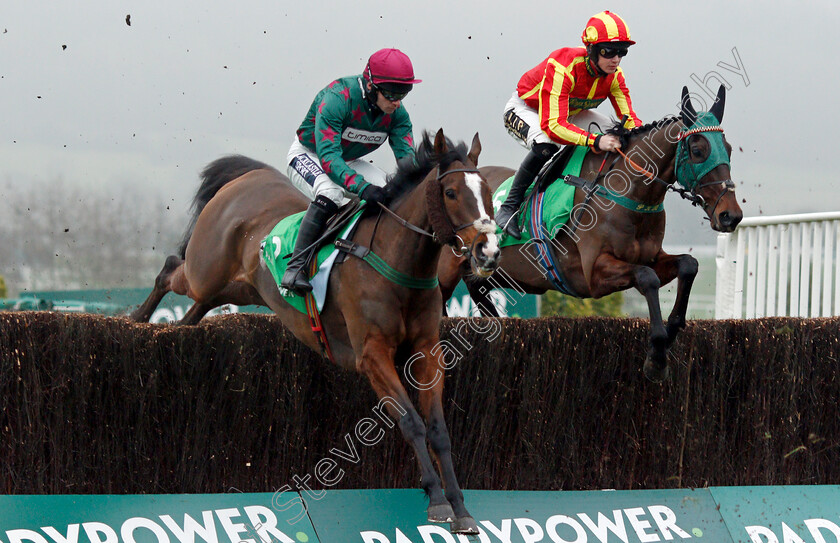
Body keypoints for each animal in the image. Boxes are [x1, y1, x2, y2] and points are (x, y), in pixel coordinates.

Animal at [130, 131, 498, 536]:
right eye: (450, 192)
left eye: (487, 190)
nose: (488, 250)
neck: (396, 261)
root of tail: (246, 178)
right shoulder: (372, 355)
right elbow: (411, 424)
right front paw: (437, 502)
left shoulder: (428, 352)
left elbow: (438, 431)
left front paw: (461, 509)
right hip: (205, 271)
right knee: (169, 270)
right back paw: (135, 320)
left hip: (237, 288)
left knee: (195, 307)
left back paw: (173, 328)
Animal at [440, 86, 740, 382]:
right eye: (698, 150)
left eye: (728, 149)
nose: (731, 215)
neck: (625, 192)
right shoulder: (592, 274)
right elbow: (648, 278)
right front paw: (656, 355)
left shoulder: (650, 257)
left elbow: (688, 264)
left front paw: (672, 330)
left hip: (486, 277)